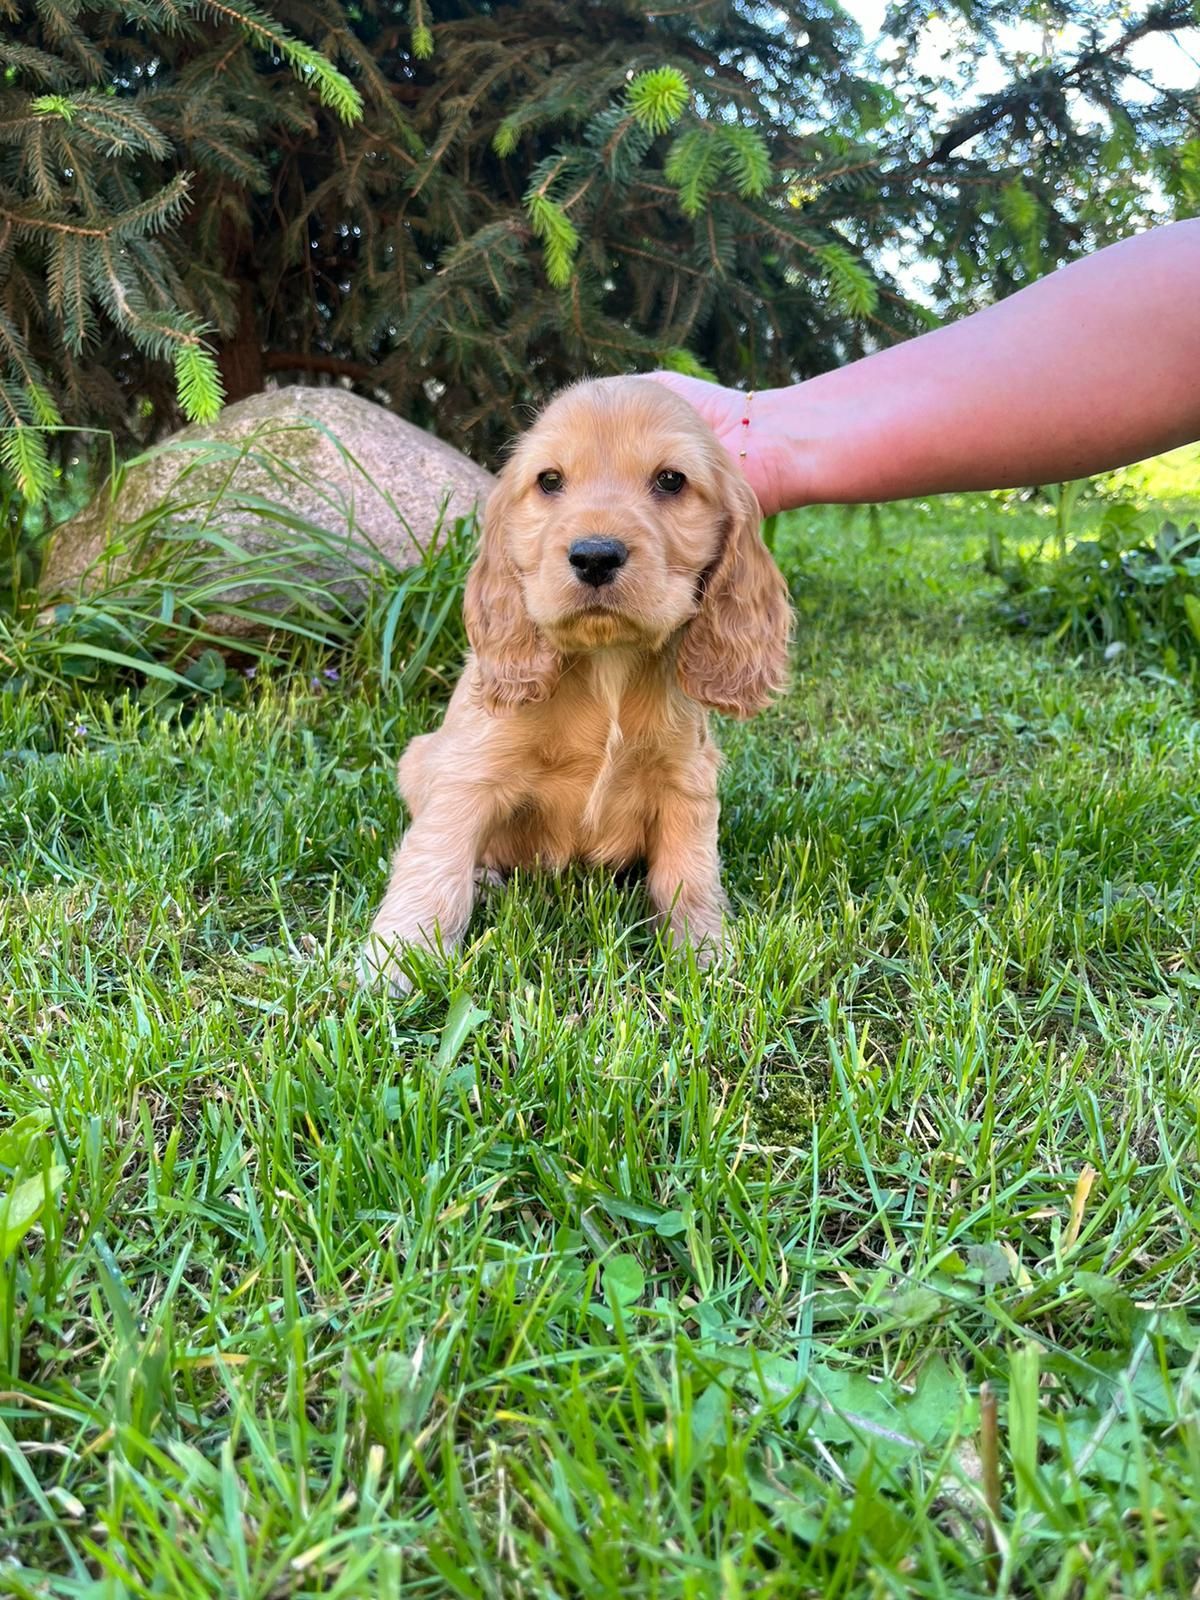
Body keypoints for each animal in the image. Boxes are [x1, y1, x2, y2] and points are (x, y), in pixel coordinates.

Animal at [366, 379, 800, 992]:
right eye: (550, 481)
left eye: (671, 480)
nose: (595, 555)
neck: (606, 663)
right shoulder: (470, 774)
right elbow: (435, 862)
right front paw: (399, 959)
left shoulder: (685, 782)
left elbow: (688, 876)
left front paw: (705, 954)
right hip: (418, 757)